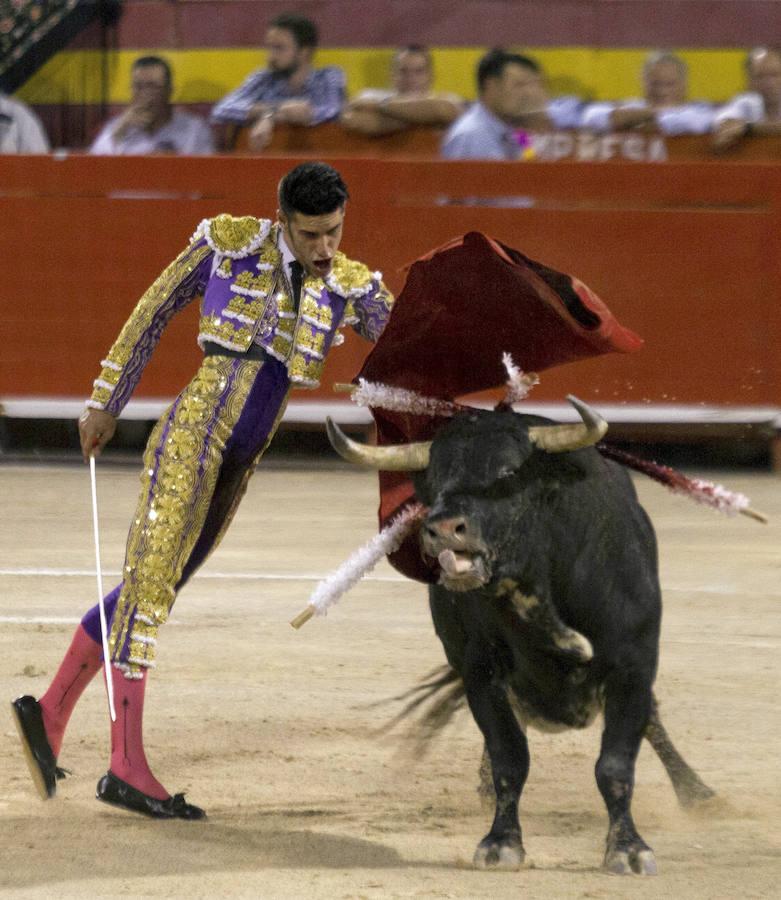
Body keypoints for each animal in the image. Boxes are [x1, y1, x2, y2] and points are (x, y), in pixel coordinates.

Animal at [326, 404, 716, 876]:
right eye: (433, 480)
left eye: (508, 471)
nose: (444, 529)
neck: (535, 586)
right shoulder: (480, 671)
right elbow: (509, 757)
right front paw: (501, 843)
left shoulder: (633, 665)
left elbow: (616, 764)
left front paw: (628, 849)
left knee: (653, 723)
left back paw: (699, 795)